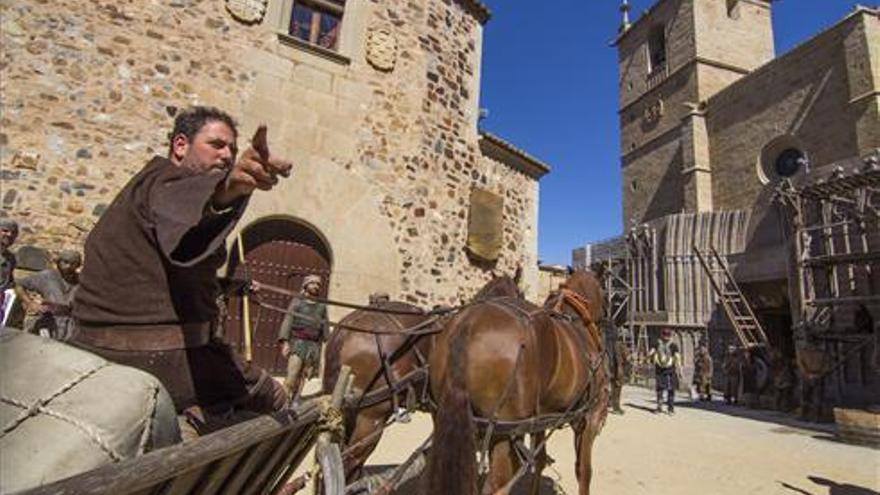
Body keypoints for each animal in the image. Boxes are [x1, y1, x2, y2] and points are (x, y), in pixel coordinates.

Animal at [424, 272, 604, 495]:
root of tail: (469, 323)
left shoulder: (541, 418)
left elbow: (540, 460)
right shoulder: (589, 417)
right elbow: (584, 471)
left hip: (447, 421)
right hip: (505, 434)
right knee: (497, 486)